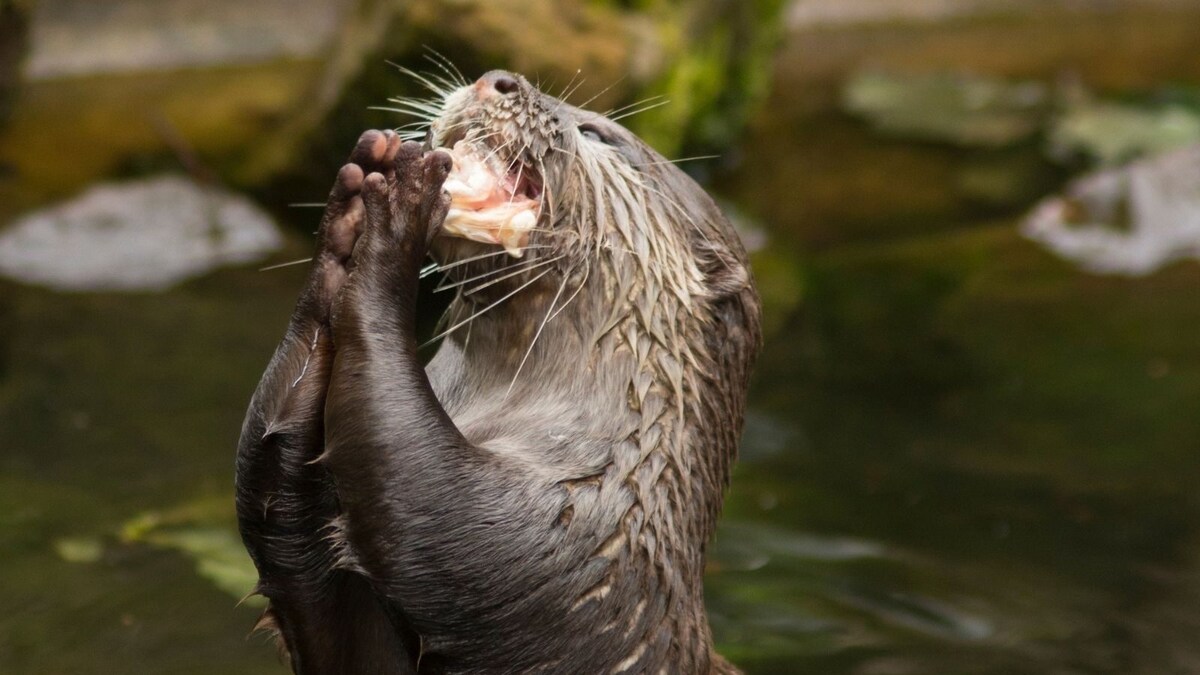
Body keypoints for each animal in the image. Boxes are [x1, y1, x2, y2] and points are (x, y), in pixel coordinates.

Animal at [235, 69, 758, 672]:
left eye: (599, 135)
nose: (498, 80)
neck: (625, 473)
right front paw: (346, 223)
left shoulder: (561, 549)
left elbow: (429, 492)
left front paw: (401, 207)